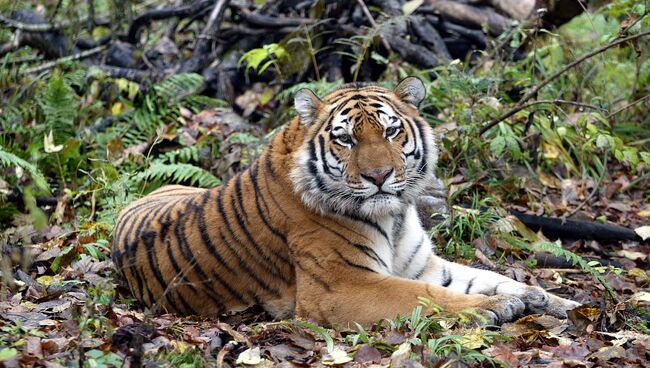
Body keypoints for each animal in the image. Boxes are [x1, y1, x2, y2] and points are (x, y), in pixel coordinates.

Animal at [111, 78, 576, 324]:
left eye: (391, 131)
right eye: (346, 138)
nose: (379, 176)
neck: (394, 216)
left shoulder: (422, 265)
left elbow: (488, 276)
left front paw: (549, 299)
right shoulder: (343, 287)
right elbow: (428, 297)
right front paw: (497, 307)